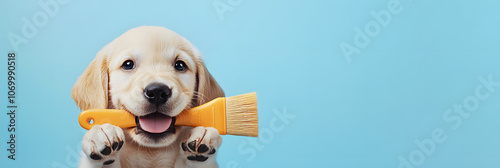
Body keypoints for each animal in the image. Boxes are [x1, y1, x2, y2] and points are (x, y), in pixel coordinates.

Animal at [72, 25, 225, 167]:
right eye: (128, 64)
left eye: (180, 65)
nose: (157, 92)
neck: (150, 152)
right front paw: (99, 135)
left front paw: (202, 137)